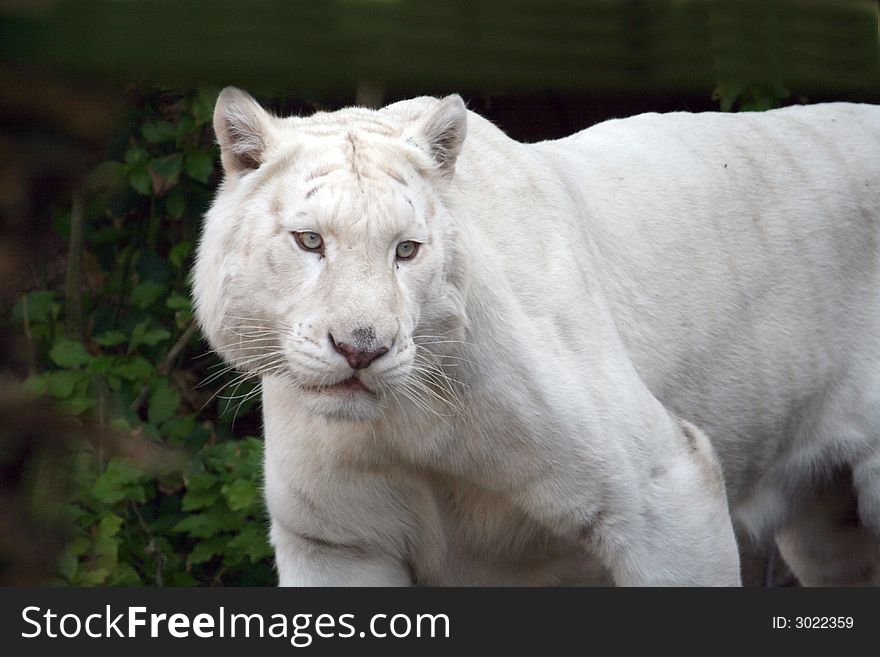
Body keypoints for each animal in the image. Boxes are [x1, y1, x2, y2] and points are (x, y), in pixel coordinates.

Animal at [194, 88, 880, 584]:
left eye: (406, 250)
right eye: (310, 241)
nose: (362, 348)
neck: (401, 426)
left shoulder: (665, 490)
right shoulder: (336, 542)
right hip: (829, 533)